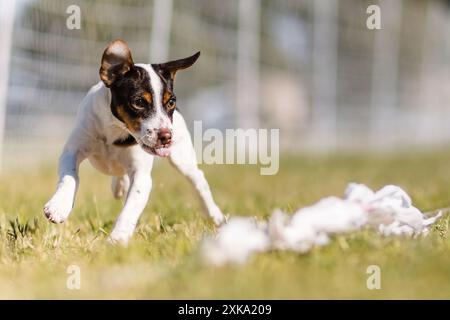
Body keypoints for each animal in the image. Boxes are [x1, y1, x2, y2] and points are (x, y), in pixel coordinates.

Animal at [43, 39, 225, 245]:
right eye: (138, 102)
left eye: (171, 102)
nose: (166, 136)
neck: (116, 129)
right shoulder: (72, 151)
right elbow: (71, 176)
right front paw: (59, 206)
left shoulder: (141, 176)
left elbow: (130, 208)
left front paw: (118, 238)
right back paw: (119, 186)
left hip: (182, 159)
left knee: (198, 180)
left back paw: (215, 215)